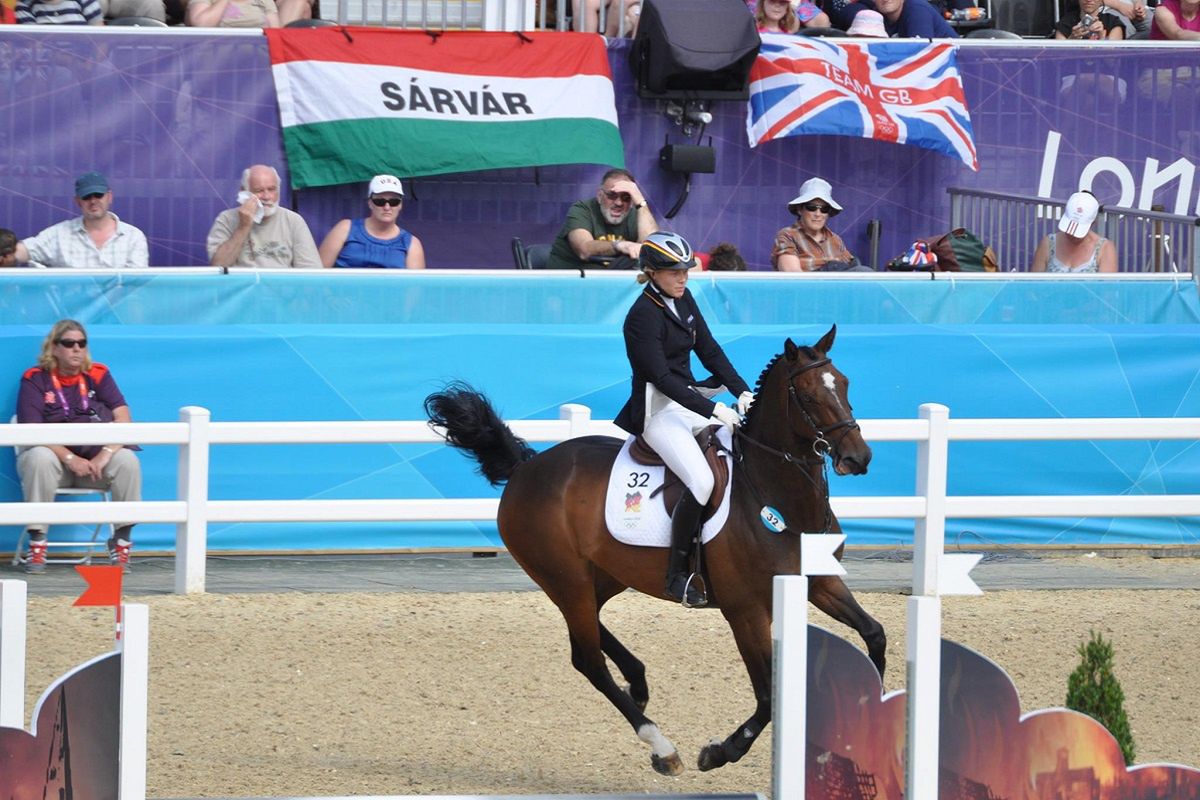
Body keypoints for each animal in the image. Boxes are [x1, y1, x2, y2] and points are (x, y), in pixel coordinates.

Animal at [422, 326, 883, 777]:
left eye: (843, 383)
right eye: (807, 396)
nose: (857, 458)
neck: (773, 492)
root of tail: (525, 467)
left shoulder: (821, 584)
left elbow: (873, 635)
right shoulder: (746, 610)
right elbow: (769, 695)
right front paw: (719, 752)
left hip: (603, 575)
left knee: (590, 632)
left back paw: (638, 682)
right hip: (565, 578)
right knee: (588, 659)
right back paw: (662, 746)